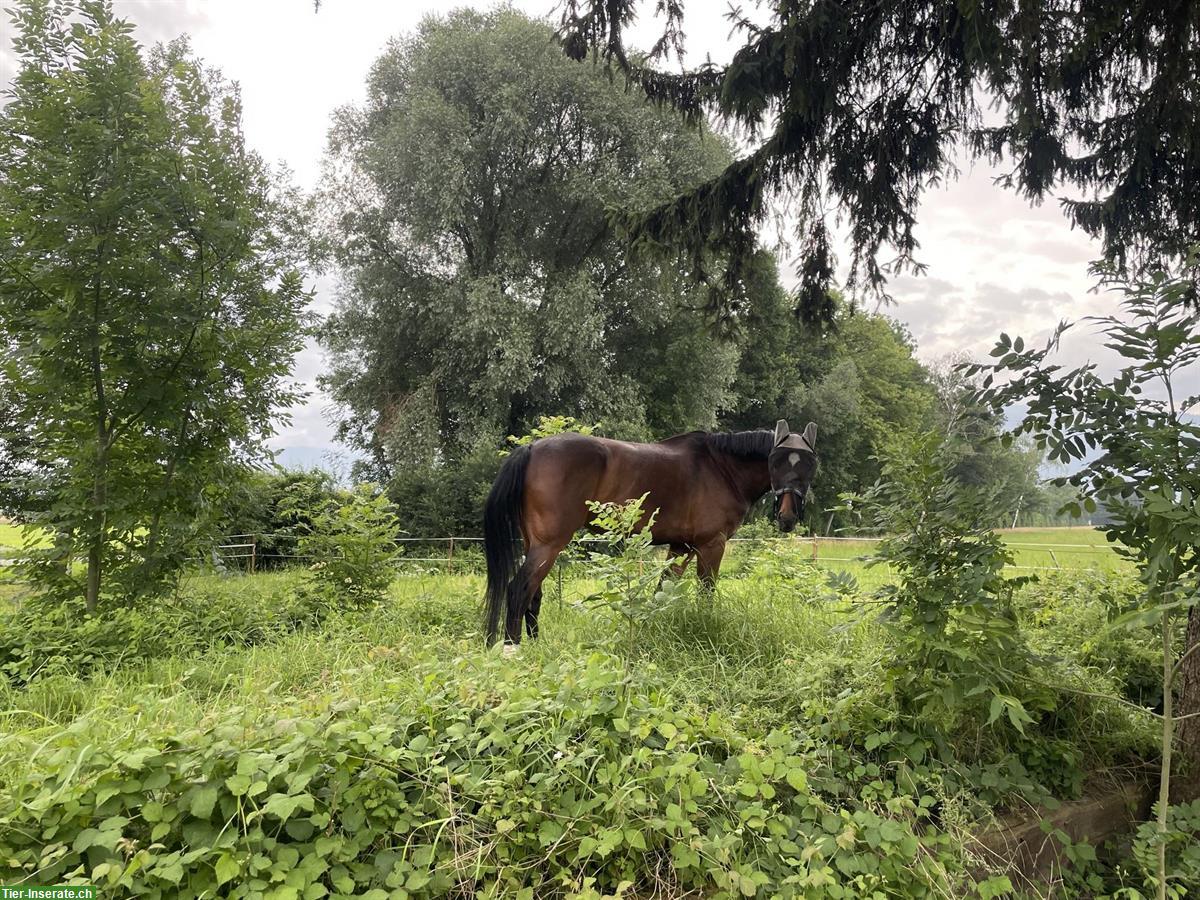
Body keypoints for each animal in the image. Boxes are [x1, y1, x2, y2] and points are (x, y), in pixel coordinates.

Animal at [480, 420, 816, 643]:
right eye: (776, 461)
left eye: (809, 465)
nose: (787, 518)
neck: (722, 468)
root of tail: (532, 447)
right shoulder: (711, 545)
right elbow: (705, 593)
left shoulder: (681, 547)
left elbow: (661, 594)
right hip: (549, 544)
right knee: (518, 589)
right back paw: (514, 649)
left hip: (535, 543)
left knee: (533, 594)